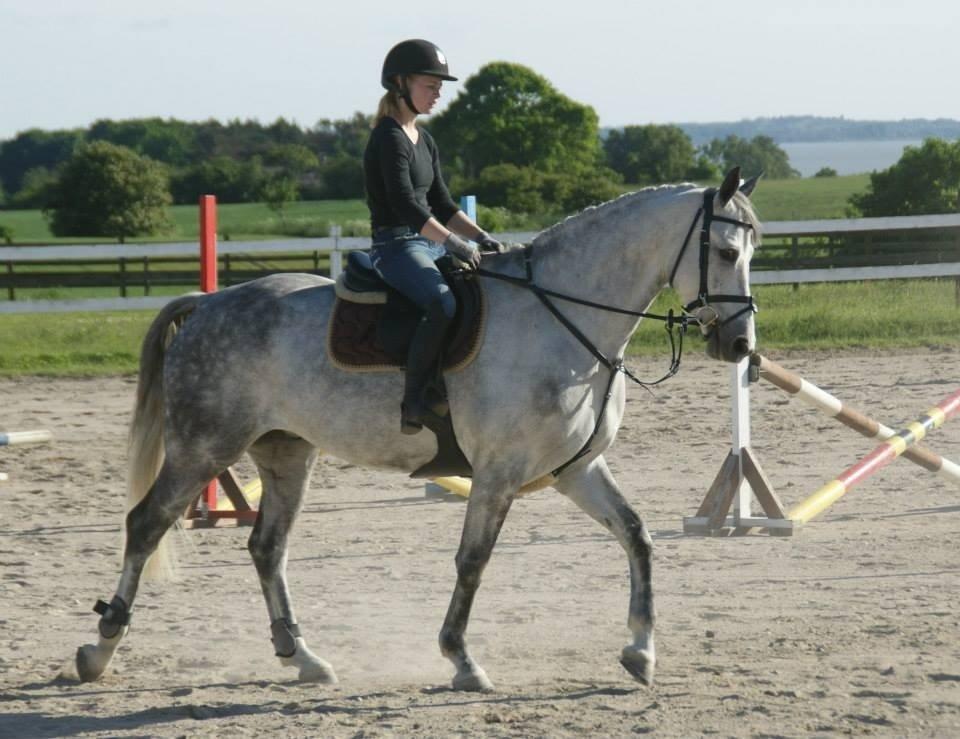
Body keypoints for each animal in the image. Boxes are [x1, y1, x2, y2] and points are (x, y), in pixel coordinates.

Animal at [71, 165, 760, 692]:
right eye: (727, 253)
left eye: (752, 253)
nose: (740, 345)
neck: (560, 317)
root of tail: (209, 304)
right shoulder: (498, 474)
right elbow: (473, 560)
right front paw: (461, 660)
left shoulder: (576, 470)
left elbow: (637, 537)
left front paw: (641, 652)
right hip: (204, 447)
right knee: (146, 525)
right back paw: (99, 649)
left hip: (286, 455)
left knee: (267, 548)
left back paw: (304, 658)